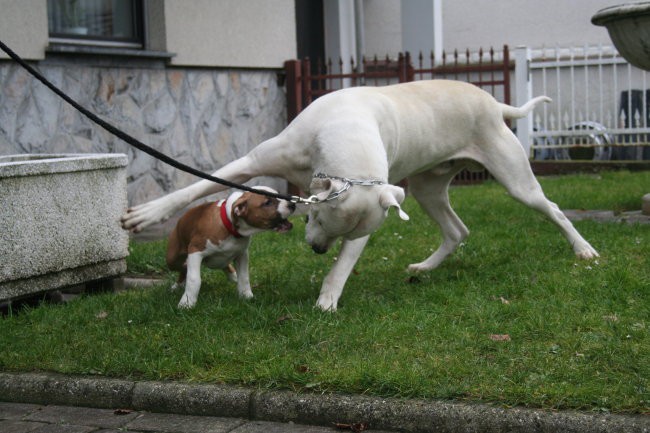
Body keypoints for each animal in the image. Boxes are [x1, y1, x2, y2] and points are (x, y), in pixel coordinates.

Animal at [123, 79, 596, 310]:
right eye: (313, 219)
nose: (315, 250)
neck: (344, 134)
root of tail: (495, 104)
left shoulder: (369, 221)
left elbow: (344, 265)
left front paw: (327, 301)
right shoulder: (251, 162)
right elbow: (197, 186)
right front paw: (143, 215)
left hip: (515, 181)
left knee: (552, 208)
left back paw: (584, 250)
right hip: (427, 188)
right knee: (457, 230)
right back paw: (425, 267)